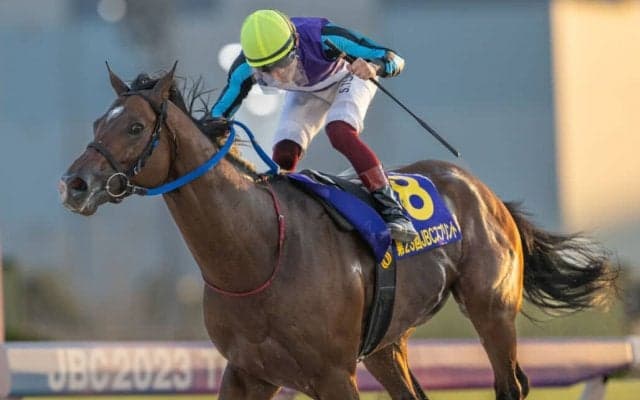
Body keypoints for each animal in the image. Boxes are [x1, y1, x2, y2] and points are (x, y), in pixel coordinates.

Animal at [59, 65, 618, 400]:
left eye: (134, 127)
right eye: (96, 123)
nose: (74, 184)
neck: (258, 253)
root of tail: (485, 193)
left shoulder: (332, 374)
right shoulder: (247, 372)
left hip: (492, 310)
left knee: (510, 382)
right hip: (388, 345)